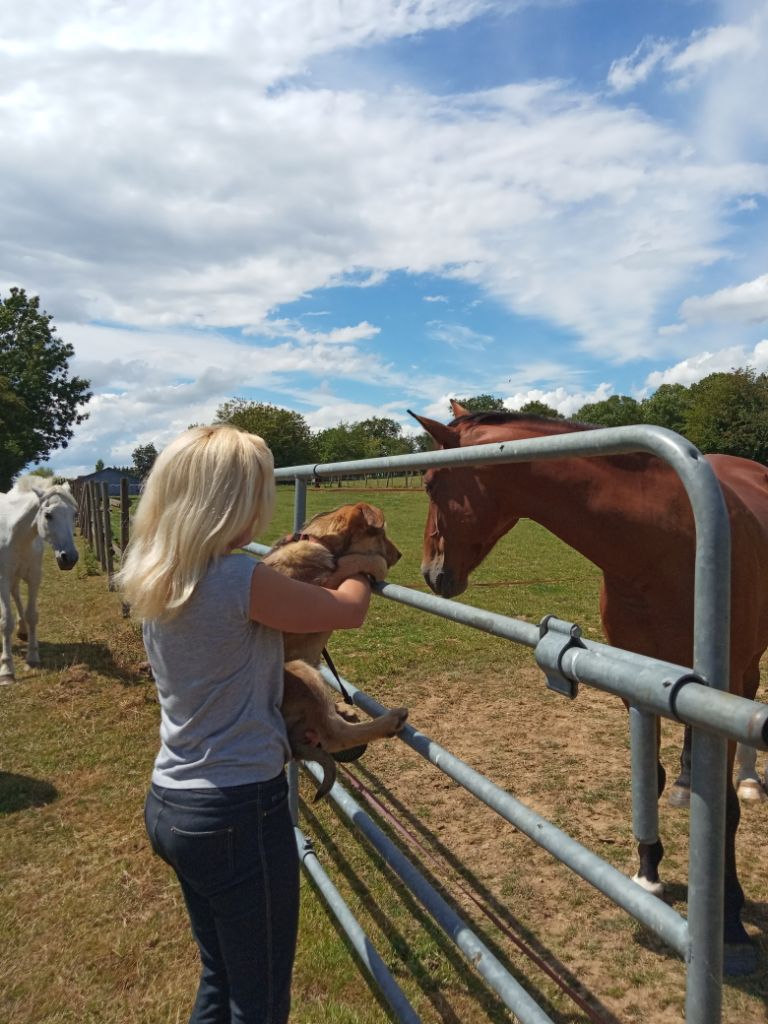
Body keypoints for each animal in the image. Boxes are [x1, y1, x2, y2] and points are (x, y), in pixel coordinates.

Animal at [0, 475, 79, 684]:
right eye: (48, 515)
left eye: (74, 514)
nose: (69, 558)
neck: (16, 535)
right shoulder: (3, 578)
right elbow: (6, 621)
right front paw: (7, 669)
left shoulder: (34, 576)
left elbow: (32, 615)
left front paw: (33, 656)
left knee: (16, 594)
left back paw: (22, 630)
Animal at [264, 503, 409, 798]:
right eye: (380, 534)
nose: (399, 555)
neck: (318, 541)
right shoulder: (320, 593)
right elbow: (350, 562)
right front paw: (376, 565)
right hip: (299, 669)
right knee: (334, 736)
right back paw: (389, 721)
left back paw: (343, 709)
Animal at [411, 401, 768, 966]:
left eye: (428, 482)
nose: (430, 573)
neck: (664, 541)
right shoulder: (635, 682)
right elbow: (650, 777)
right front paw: (647, 873)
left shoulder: (723, 680)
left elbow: (725, 810)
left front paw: (731, 922)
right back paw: (689, 784)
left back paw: (750, 780)